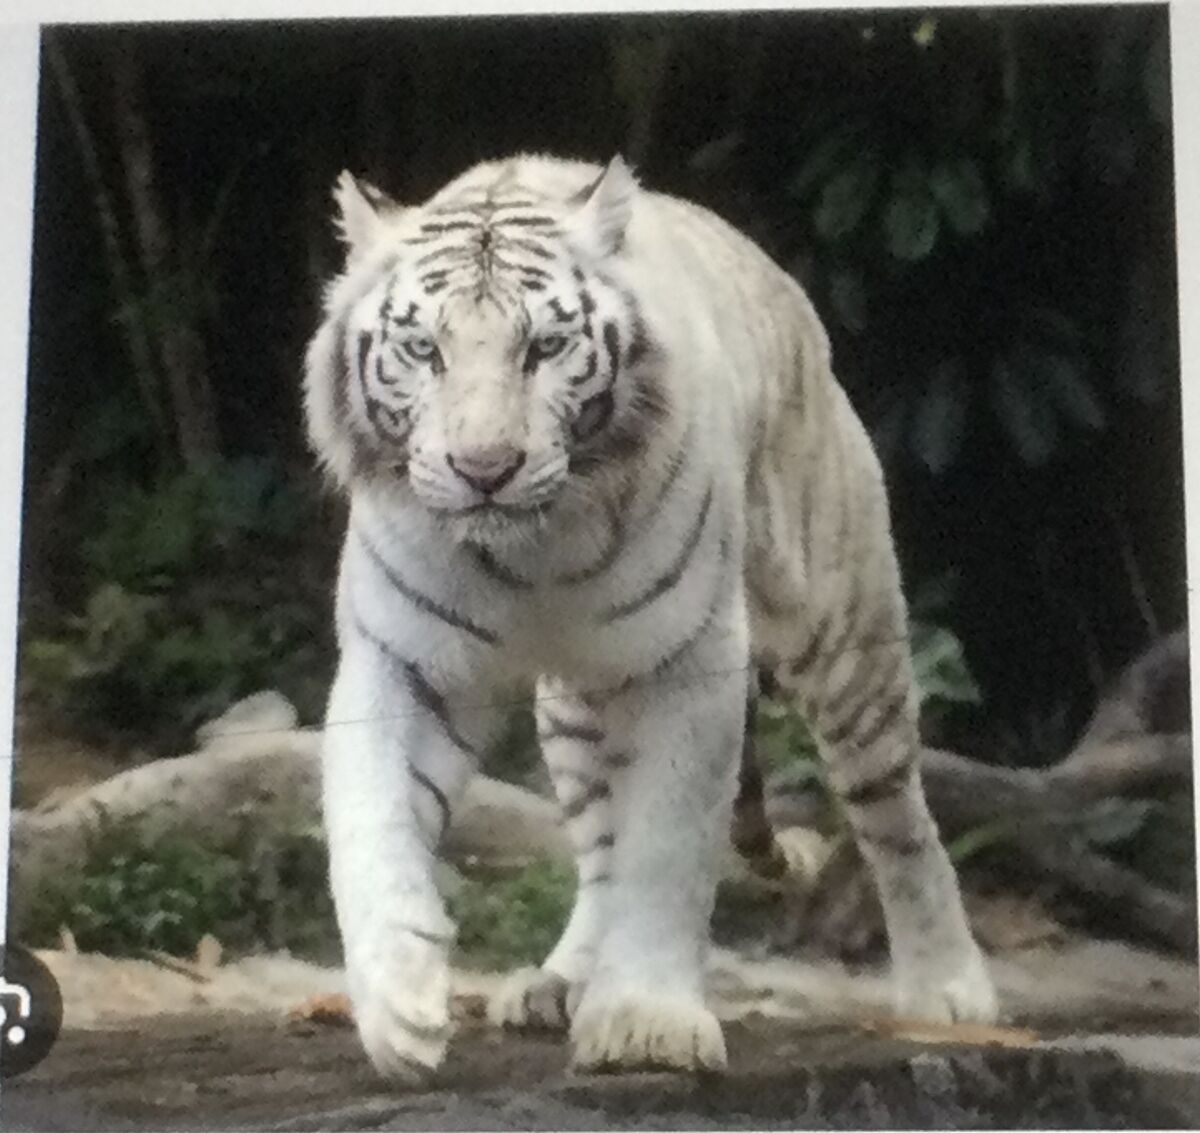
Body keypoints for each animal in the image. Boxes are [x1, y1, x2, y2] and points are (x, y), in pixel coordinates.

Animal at [303, 153, 997, 1082]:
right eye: (425, 350)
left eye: (544, 347)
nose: (485, 467)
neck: (532, 555)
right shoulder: (402, 659)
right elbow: (370, 818)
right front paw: (399, 1004)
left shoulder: (690, 658)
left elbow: (667, 843)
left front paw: (645, 1023)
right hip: (574, 713)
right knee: (600, 850)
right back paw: (560, 982)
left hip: (846, 637)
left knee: (898, 817)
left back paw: (948, 987)